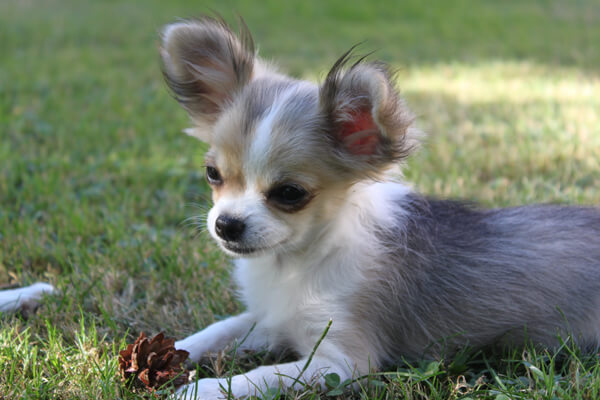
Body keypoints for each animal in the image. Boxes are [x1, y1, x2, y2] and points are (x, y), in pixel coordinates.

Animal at [162, 16, 600, 400]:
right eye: (213, 174)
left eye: (290, 193)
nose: (226, 225)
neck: (295, 263)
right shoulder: (269, 318)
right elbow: (216, 330)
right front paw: (167, 351)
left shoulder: (341, 361)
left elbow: (261, 376)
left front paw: (202, 389)